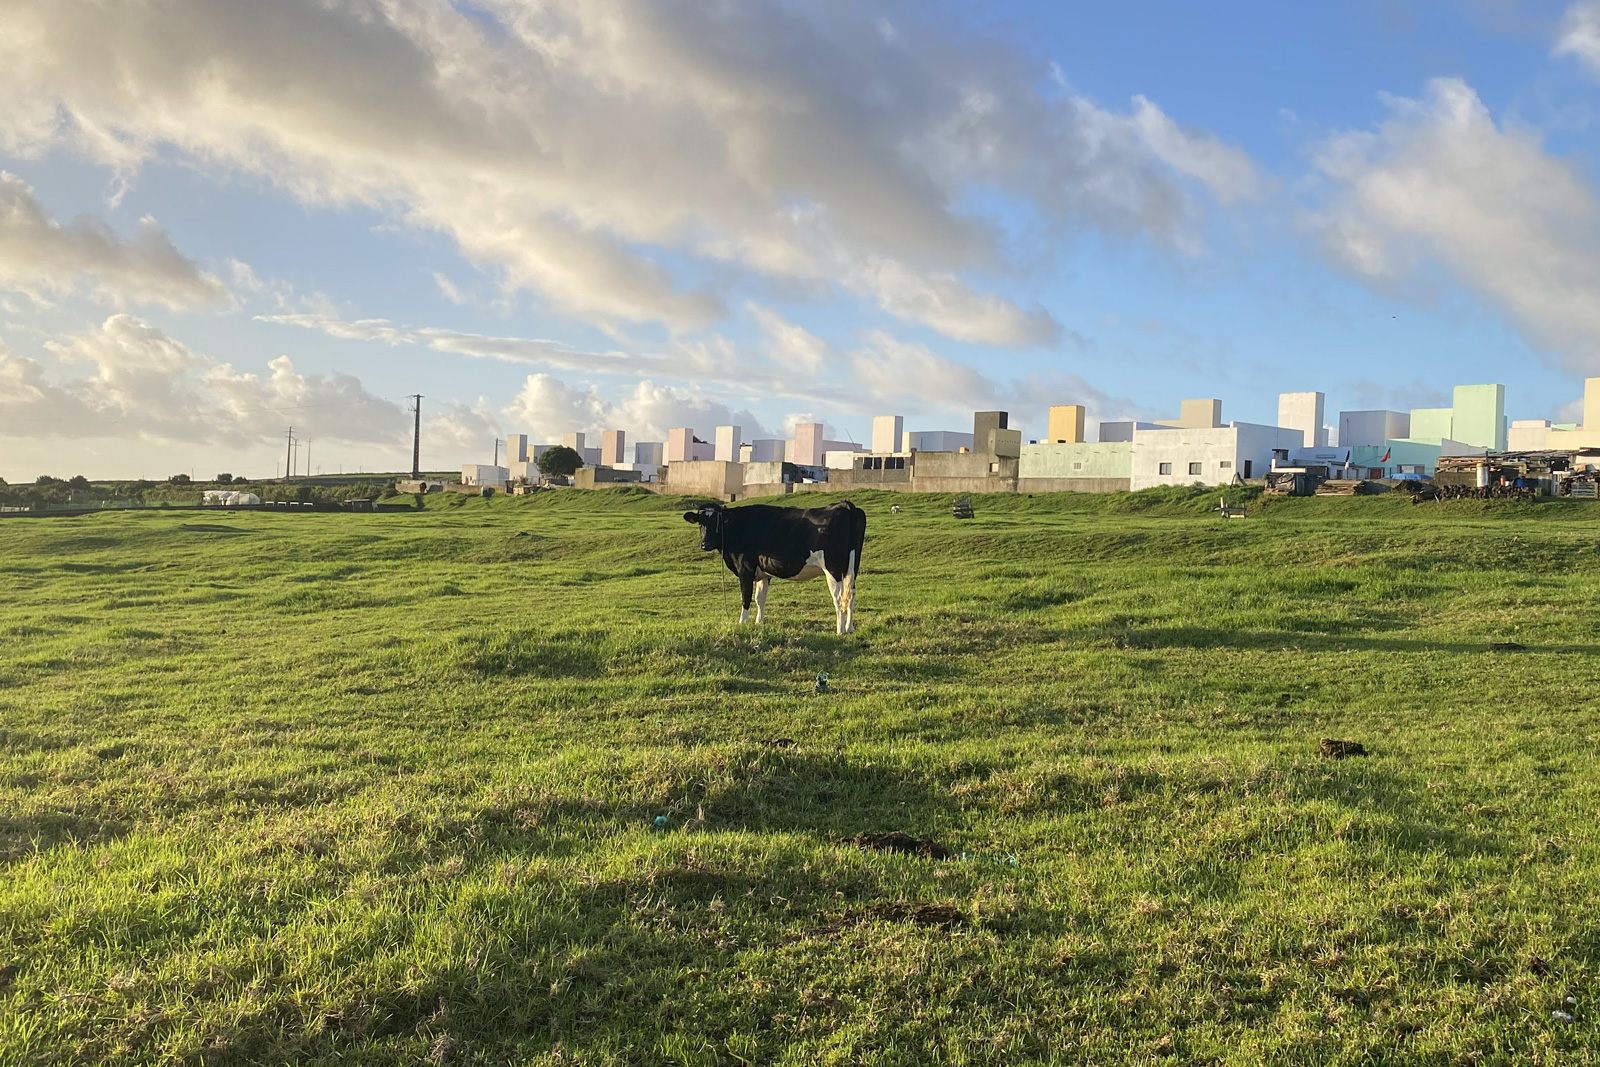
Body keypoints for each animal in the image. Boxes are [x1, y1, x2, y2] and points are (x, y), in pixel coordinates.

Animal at [683, 501, 866, 634]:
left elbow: (746, 596)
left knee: (839, 597)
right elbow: (760, 598)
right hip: (852, 567)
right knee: (851, 594)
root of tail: (844, 505)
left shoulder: (745, 569)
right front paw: (759, 622)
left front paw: (742, 622)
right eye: (700, 523)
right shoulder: (764, 573)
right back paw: (849, 628)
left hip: (833, 568)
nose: (705, 544)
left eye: (717, 522)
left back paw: (840, 630)